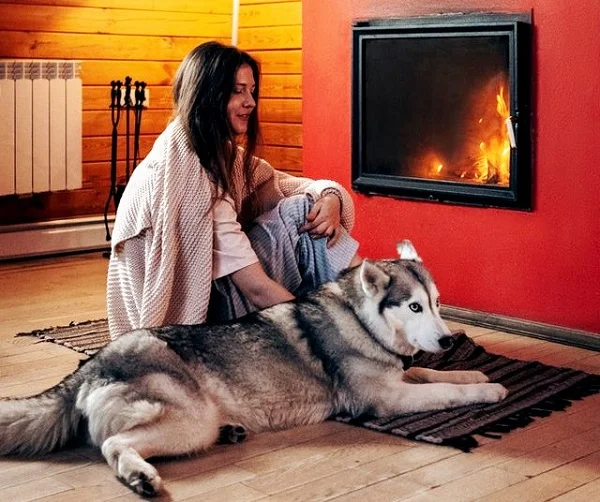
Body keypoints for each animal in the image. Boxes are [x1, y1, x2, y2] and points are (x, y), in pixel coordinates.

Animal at [0, 241, 506, 496]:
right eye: (414, 306)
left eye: (437, 304)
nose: (448, 340)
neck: (360, 319)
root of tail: (88, 366)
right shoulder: (386, 398)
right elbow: (444, 392)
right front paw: (491, 391)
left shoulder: (398, 377)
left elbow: (436, 376)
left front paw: (474, 373)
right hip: (189, 420)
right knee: (113, 444)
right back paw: (140, 477)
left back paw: (229, 432)